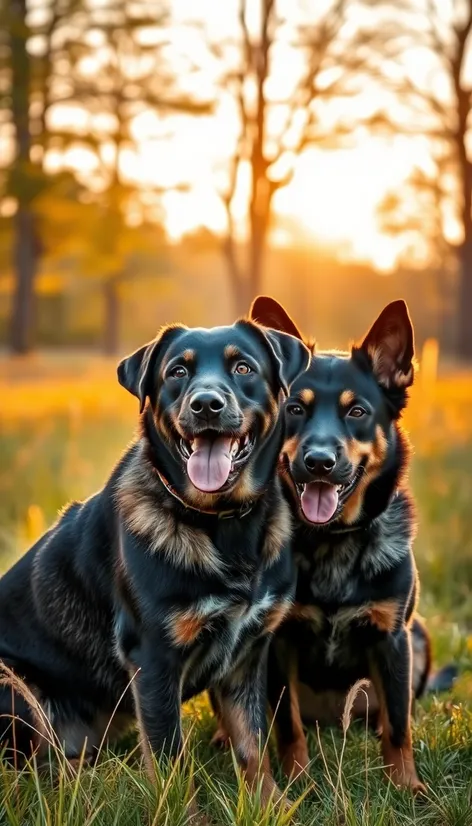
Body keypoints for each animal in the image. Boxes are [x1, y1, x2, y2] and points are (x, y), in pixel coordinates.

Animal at [0, 308, 310, 816]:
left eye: (243, 367)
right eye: (177, 372)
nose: (206, 405)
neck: (221, 524)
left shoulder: (248, 656)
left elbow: (252, 746)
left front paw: (272, 807)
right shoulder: (154, 659)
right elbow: (171, 763)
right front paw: (187, 817)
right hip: (19, 692)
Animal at [251, 296, 428, 792]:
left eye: (357, 412)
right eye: (295, 408)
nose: (319, 462)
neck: (332, 542)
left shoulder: (393, 639)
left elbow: (399, 726)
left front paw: (406, 786)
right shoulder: (278, 642)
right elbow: (288, 723)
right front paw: (296, 780)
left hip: (420, 640)